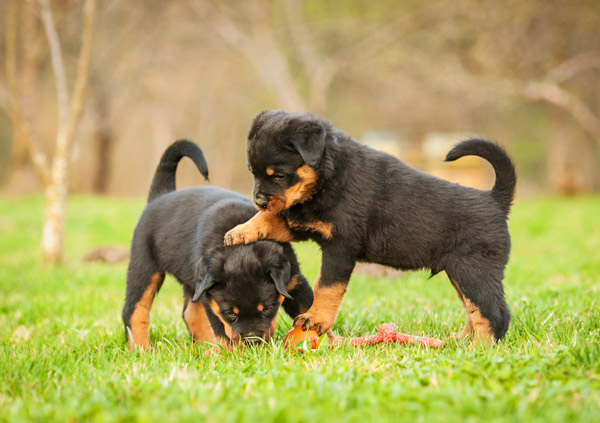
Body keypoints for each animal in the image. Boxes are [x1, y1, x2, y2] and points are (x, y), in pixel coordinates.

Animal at [119, 139, 312, 352]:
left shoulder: (294, 280)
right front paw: (231, 352)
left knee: (190, 313)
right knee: (135, 310)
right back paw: (142, 349)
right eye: (231, 313)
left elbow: (309, 306)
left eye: (268, 308)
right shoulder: (211, 299)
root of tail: (161, 195)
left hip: (191, 280)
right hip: (143, 265)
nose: (252, 342)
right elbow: (222, 329)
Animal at [225, 109, 516, 348]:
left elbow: (327, 286)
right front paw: (241, 231)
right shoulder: (305, 221)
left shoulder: (340, 246)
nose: (259, 200)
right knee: (473, 309)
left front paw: (315, 319)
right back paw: (462, 340)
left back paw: (478, 349)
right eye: (252, 172)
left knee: (494, 313)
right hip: (460, 273)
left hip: (474, 270)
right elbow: (273, 219)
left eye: (280, 175)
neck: (329, 176)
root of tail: (494, 199)